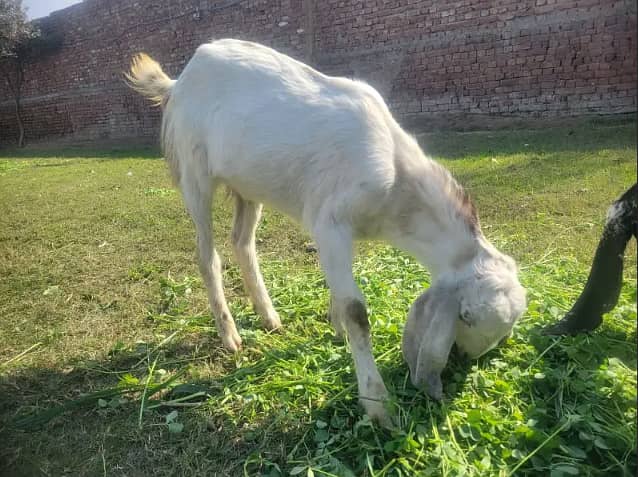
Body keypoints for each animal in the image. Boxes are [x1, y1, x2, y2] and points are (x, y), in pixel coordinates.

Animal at [127, 40, 528, 424]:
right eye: (466, 317)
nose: (463, 360)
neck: (398, 183)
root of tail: (177, 82)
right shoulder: (330, 222)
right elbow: (356, 311)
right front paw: (378, 404)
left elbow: (341, 297)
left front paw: (336, 330)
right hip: (194, 172)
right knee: (207, 255)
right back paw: (230, 335)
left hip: (249, 187)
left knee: (242, 242)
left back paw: (269, 317)